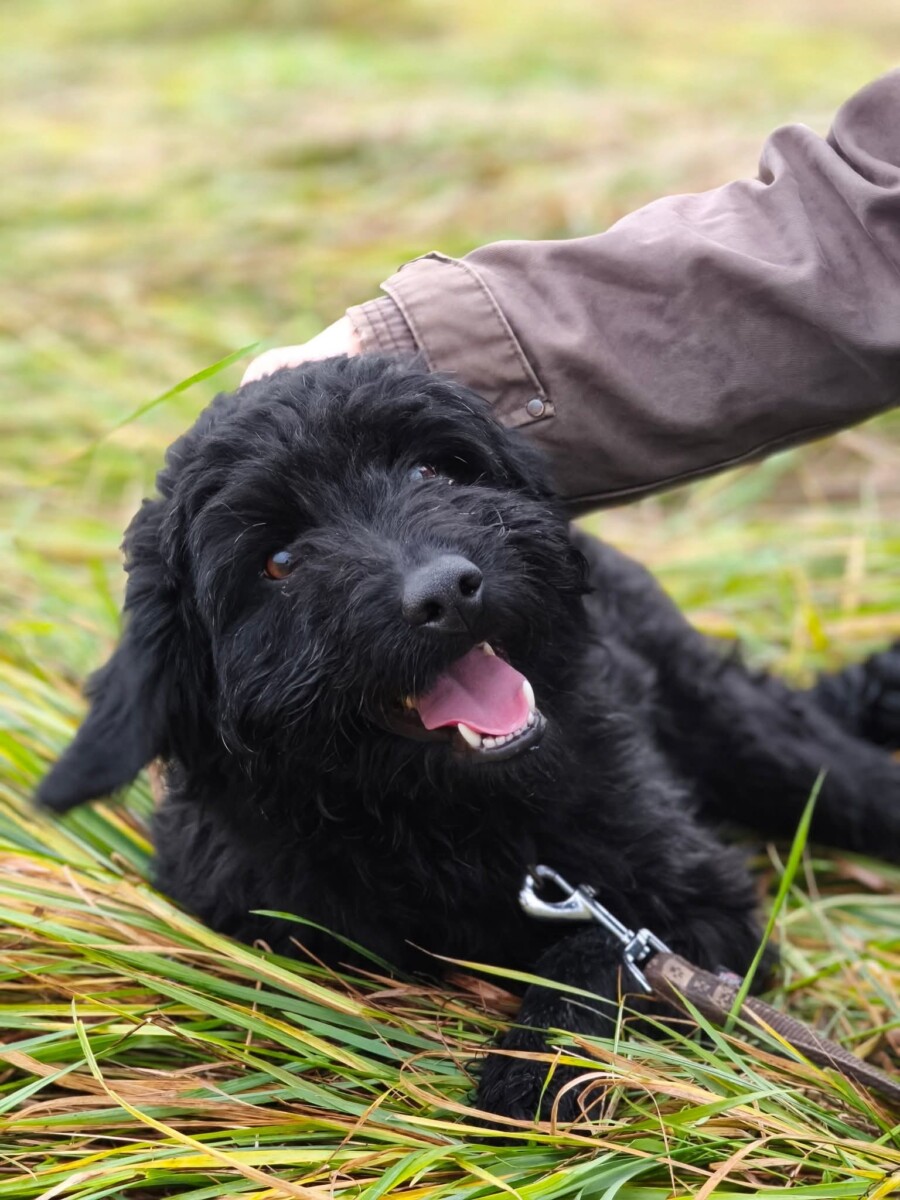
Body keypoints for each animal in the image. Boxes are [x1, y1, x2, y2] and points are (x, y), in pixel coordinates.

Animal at [38, 355, 900, 1123]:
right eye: (278, 561)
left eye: (435, 470)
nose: (448, 591)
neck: (442, 816)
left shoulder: (693, 904)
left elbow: (591, 957)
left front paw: (534, 1071)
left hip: (749, 738)